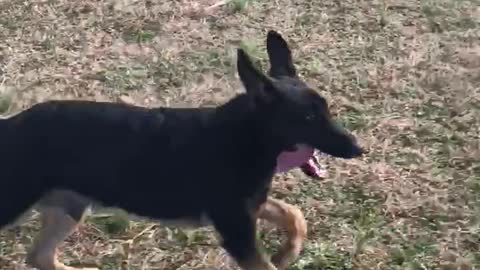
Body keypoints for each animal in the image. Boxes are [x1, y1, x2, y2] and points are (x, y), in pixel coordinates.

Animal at [0, 30, 360, 268]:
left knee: (40, 256)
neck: (245, 135)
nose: (358, 148)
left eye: (326, 109)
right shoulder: (237, 231)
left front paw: (288, 252)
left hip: (69, 207)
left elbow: (293, 214)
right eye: (308, 118)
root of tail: (9, 125)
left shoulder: (247, 208)